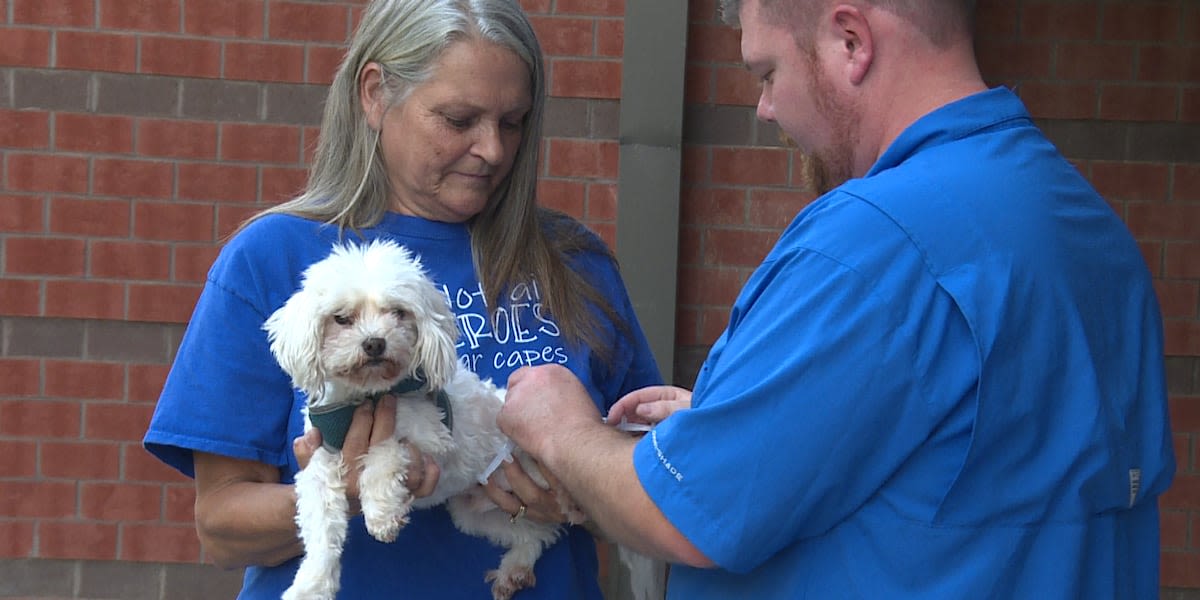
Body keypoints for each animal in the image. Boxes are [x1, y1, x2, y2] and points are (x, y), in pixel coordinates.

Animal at [262, 238, 580, 600]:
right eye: (341, 318)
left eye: (398, 312)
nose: (374, 342)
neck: (367, 398)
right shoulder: (319, 463)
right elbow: (321, 526)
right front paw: (311, 585)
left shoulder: (433, 438)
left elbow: (385, 451)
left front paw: (382, 512)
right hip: (474, 510)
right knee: (535, 533)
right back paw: (514, 569)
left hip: (528, 457)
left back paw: (570, 501)